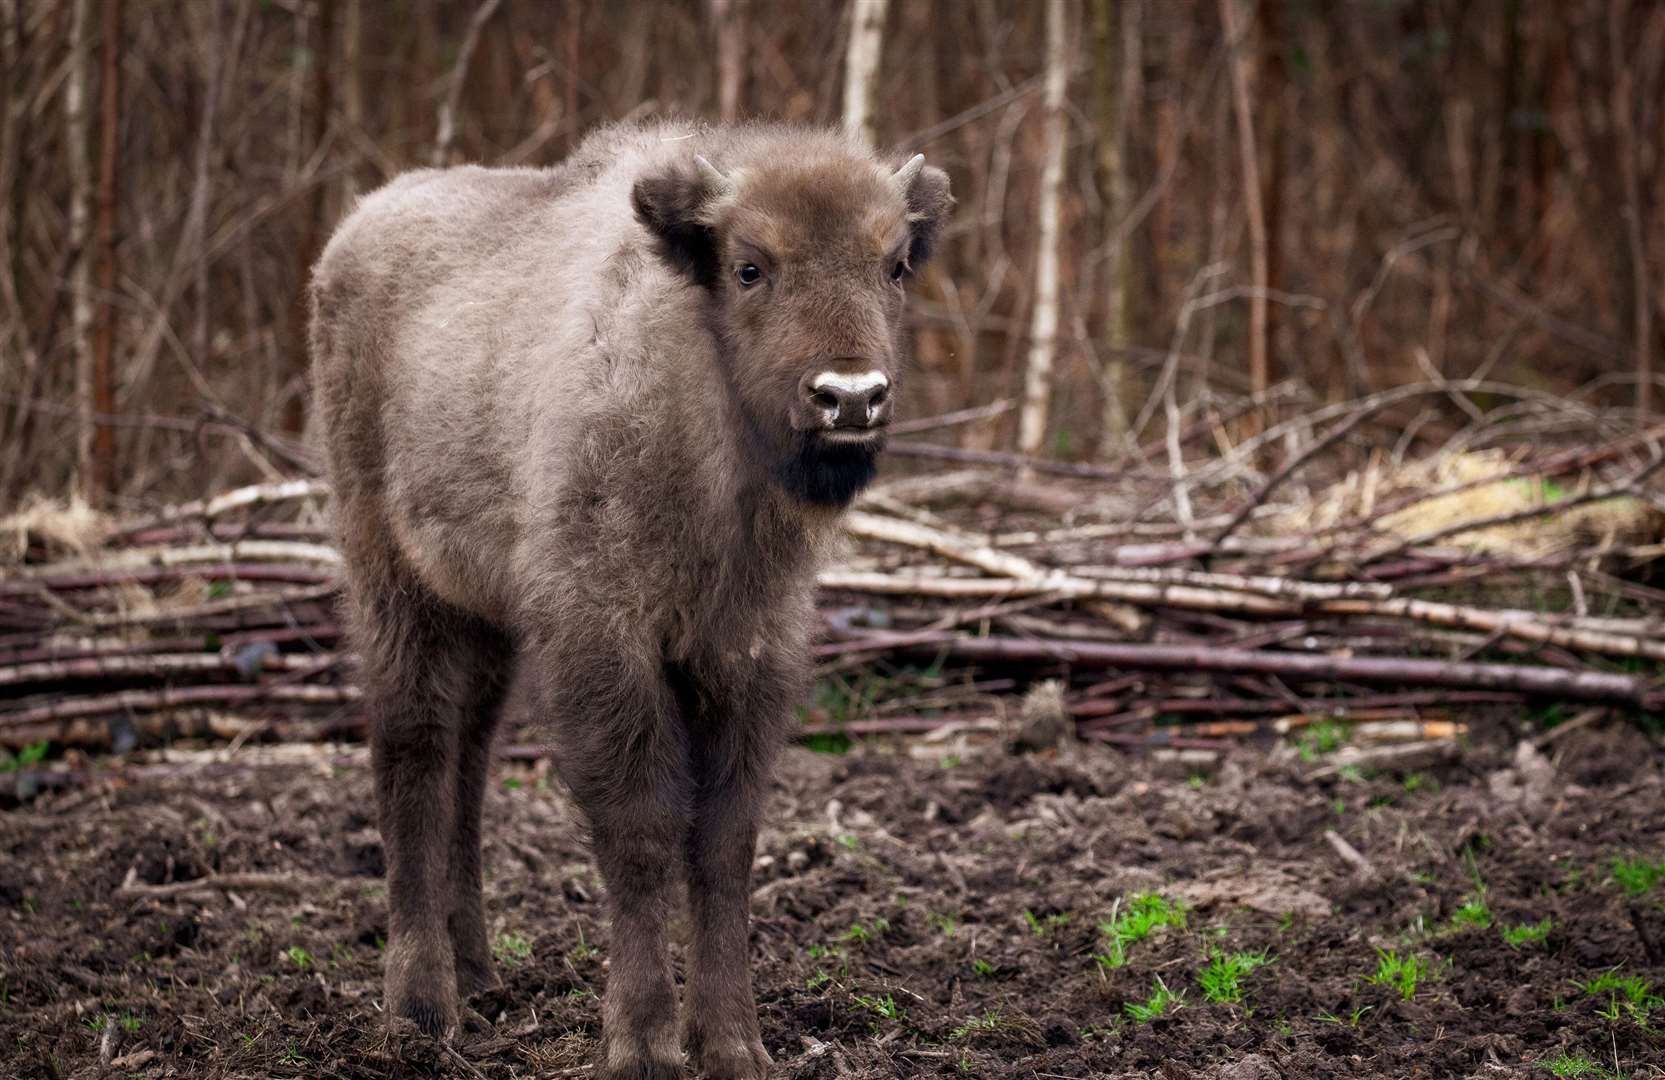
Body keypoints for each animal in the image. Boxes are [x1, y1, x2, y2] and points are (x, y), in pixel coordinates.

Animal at [303, 119, 952, 1078]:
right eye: (749, 266)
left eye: (895, 264)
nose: (849, 397)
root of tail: (352, 232)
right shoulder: (602, 639)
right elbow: (641, 830)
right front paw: (643, 1044)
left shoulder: (745, 651)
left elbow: (723, 842)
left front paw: (735, 1046)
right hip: (392, 579)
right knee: (412, 752)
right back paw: (421, 1007)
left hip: (485, 616)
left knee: (469, 760)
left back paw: (480, 977)